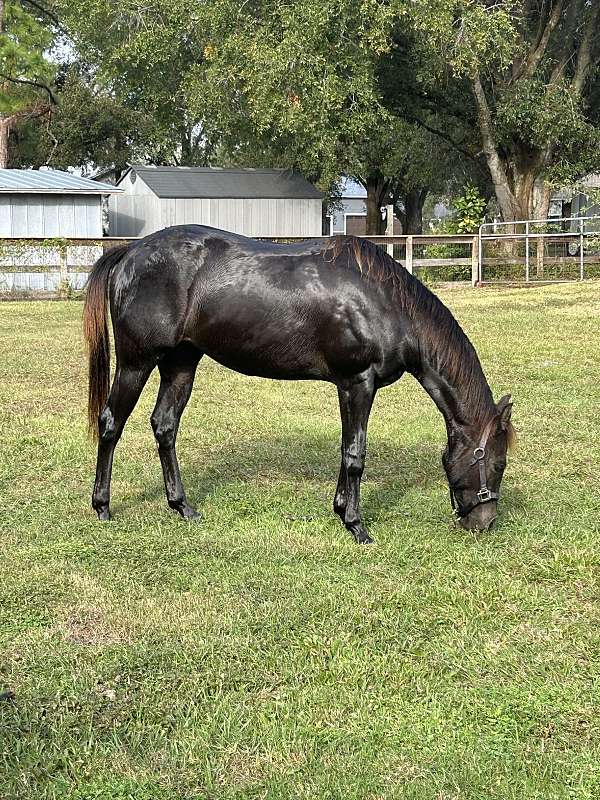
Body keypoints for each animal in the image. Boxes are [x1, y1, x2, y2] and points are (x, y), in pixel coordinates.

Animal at [83, 223, 516, 544]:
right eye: (498, 463)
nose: (485, 523)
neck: (383, 302)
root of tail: (130, 253)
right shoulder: (358, 383)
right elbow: (355, 454)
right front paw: (357, 526)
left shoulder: (349, 386)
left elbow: (345, 449)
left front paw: (341, 510)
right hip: (136, 362)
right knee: (111, 424)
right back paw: (102, 506)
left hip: (181, 362)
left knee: (165, 426)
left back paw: (182, 506)